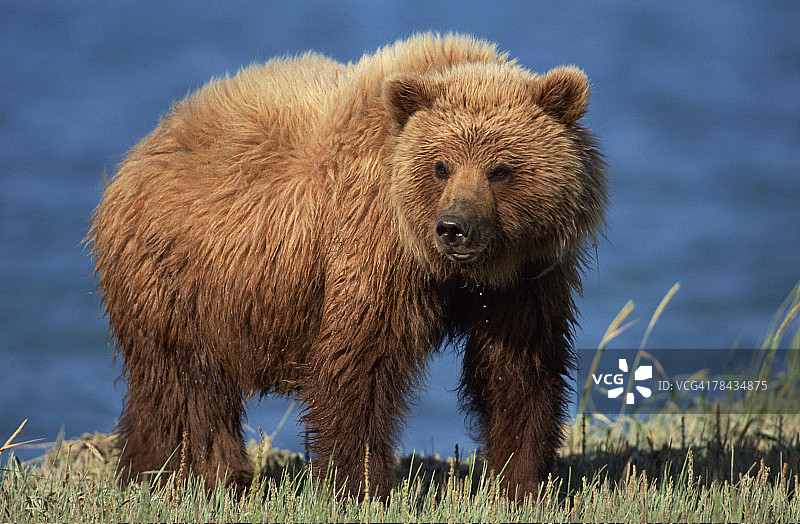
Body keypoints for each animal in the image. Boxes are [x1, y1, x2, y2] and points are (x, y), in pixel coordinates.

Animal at [88, 32, 607, 498]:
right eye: (440, 166)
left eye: (500, 169)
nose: (454, 227)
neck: (455, 273)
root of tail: (139, 152)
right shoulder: (374, 251)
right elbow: (361, 365)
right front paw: (360, 485)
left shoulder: (526, 278)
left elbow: (518, 370)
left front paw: (522, 482)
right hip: (179, 278)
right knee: (189, 385)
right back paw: (211, 476)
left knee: (161, 390)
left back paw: (144, 469)